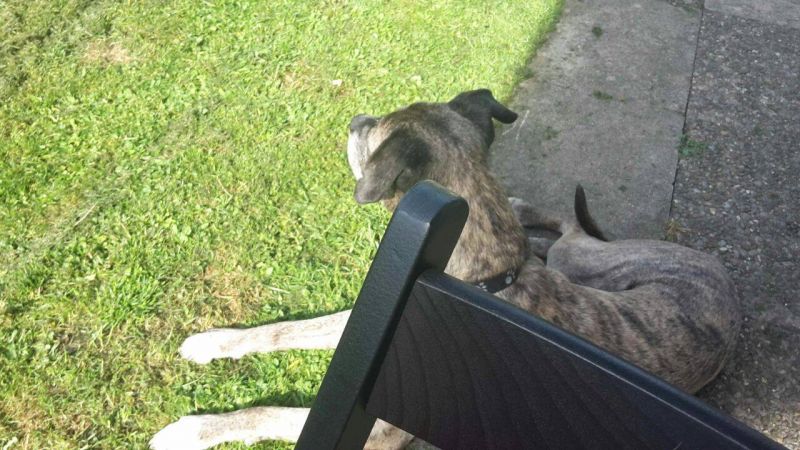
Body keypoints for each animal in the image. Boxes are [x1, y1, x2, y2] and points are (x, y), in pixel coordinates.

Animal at [151, 89, 741, 450]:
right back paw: (524, 213)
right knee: (550, 229)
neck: (484, 278)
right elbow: (284, 330)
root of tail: (727, 291)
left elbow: (268, 414)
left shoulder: (374, 427)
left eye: (373, 136)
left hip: (583, 257)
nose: (354, 120)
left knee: (570, 230)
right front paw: (214, 343)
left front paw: (194, 430)